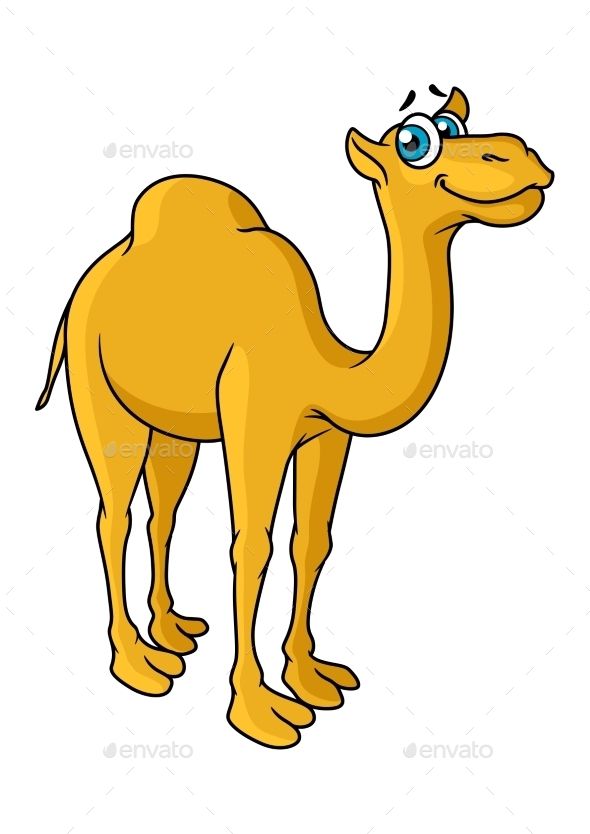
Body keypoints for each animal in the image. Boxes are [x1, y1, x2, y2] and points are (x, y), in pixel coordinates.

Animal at [37, 88, 553, 748]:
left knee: (162, 512)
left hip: (176, 426)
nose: (521, 154)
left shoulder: (327, 435)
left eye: (455, 122)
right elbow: (251, 546)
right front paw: (258, 710)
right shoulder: (258, 421)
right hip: (96, 387)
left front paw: (310, 676)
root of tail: (88, 280)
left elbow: (312, 540)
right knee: (114, 515)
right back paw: (137, 664)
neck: (327, 364)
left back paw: (173, 632)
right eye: (415, 141)